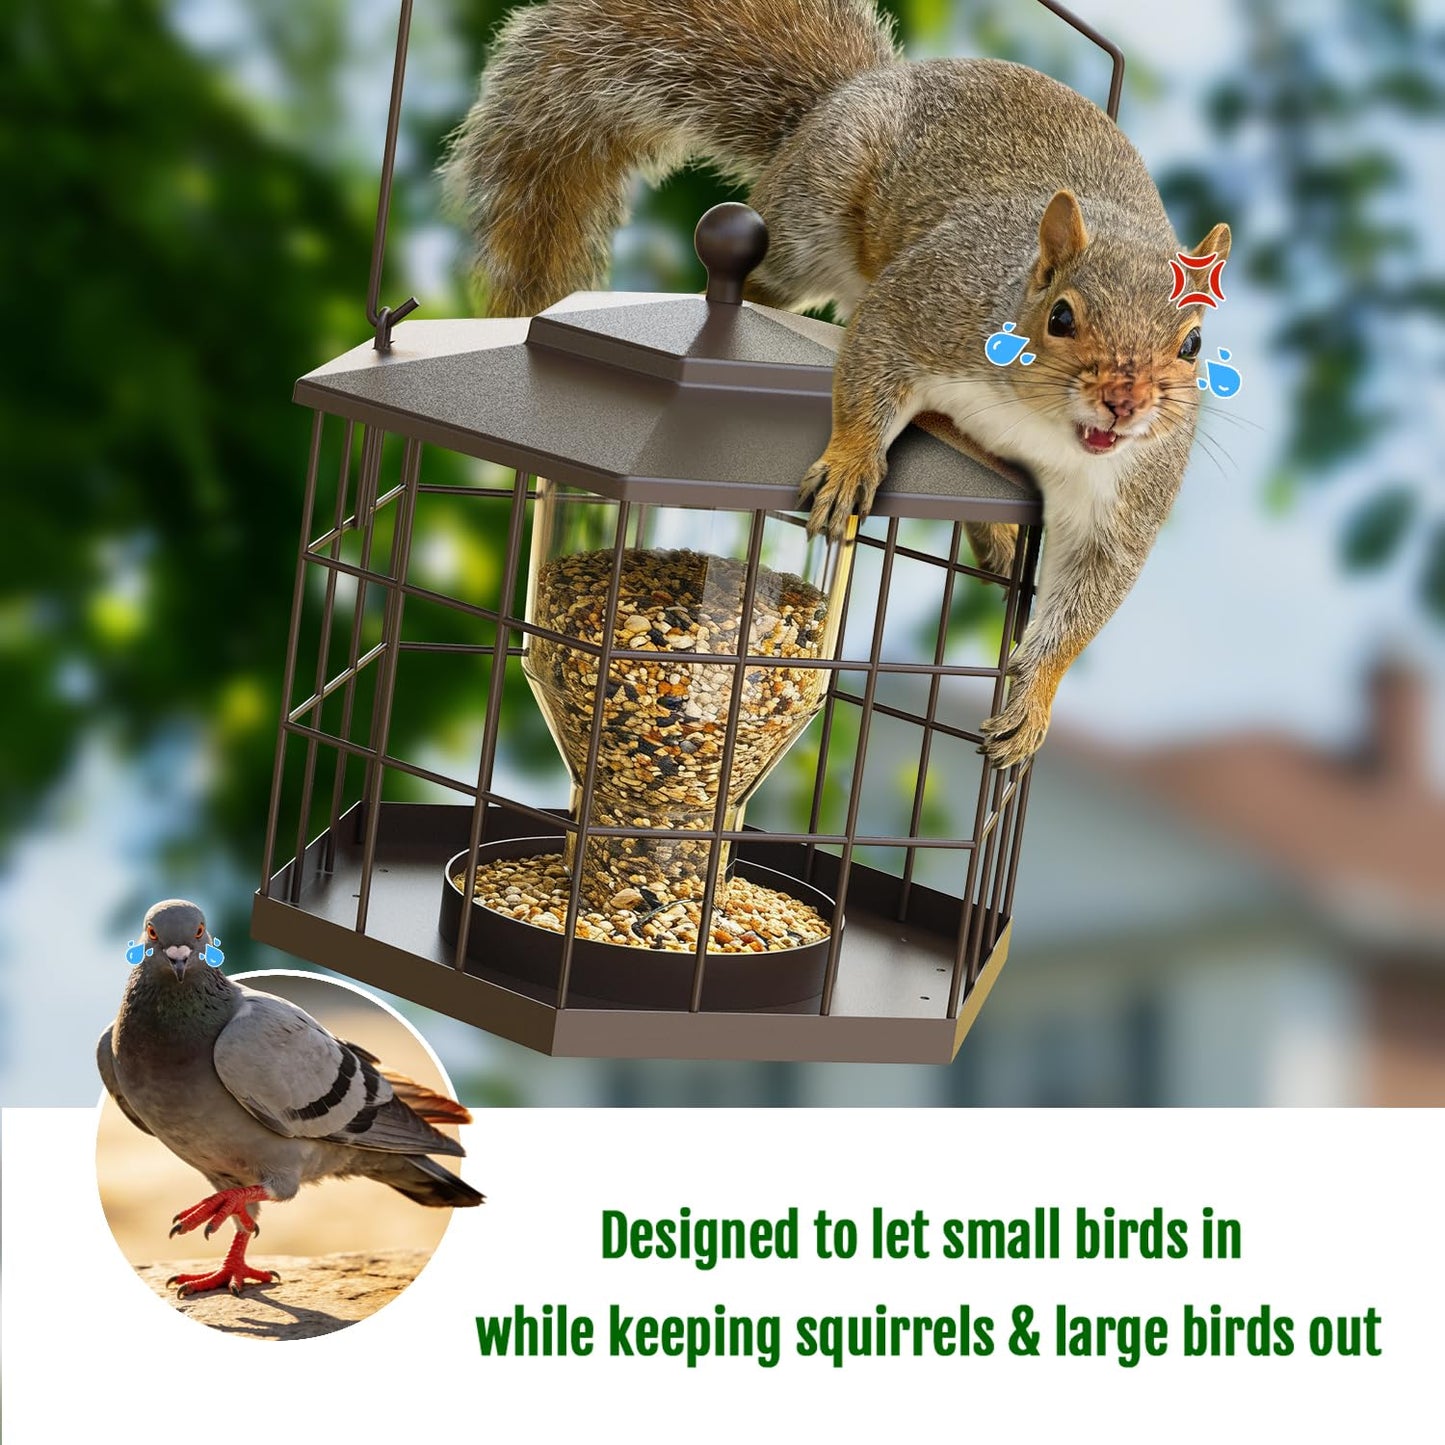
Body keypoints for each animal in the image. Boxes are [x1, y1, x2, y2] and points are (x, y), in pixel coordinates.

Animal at [442, 0, 1230, 768]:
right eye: (1061, 316)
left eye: (1192, 343)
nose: (1124, 403)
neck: (1038, 421)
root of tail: (858, 87)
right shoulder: (927, 304)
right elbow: (870, 363)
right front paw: (852, 464)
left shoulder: (1127, 493)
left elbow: (1084, 600)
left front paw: (1032, 703)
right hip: (810, 219)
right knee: (776, 280)